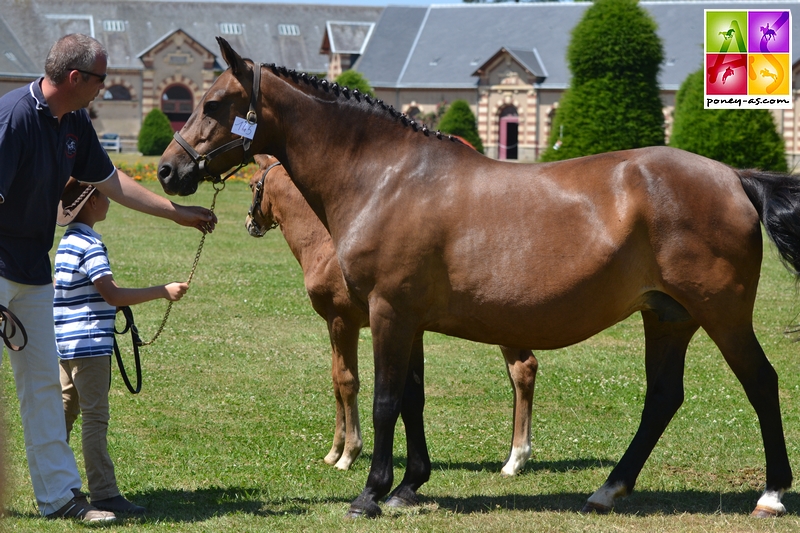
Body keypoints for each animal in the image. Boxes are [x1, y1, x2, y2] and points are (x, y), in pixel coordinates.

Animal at [244, 152, 536, 472]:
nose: (249, 223)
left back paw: (515, 459)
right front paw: (334, 451)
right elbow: (336, 381)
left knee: (522, 372)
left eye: (252, 184)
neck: (327, 243)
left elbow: (348, 383)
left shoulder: (343, 321)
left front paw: (348, 454)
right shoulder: (335, 324)